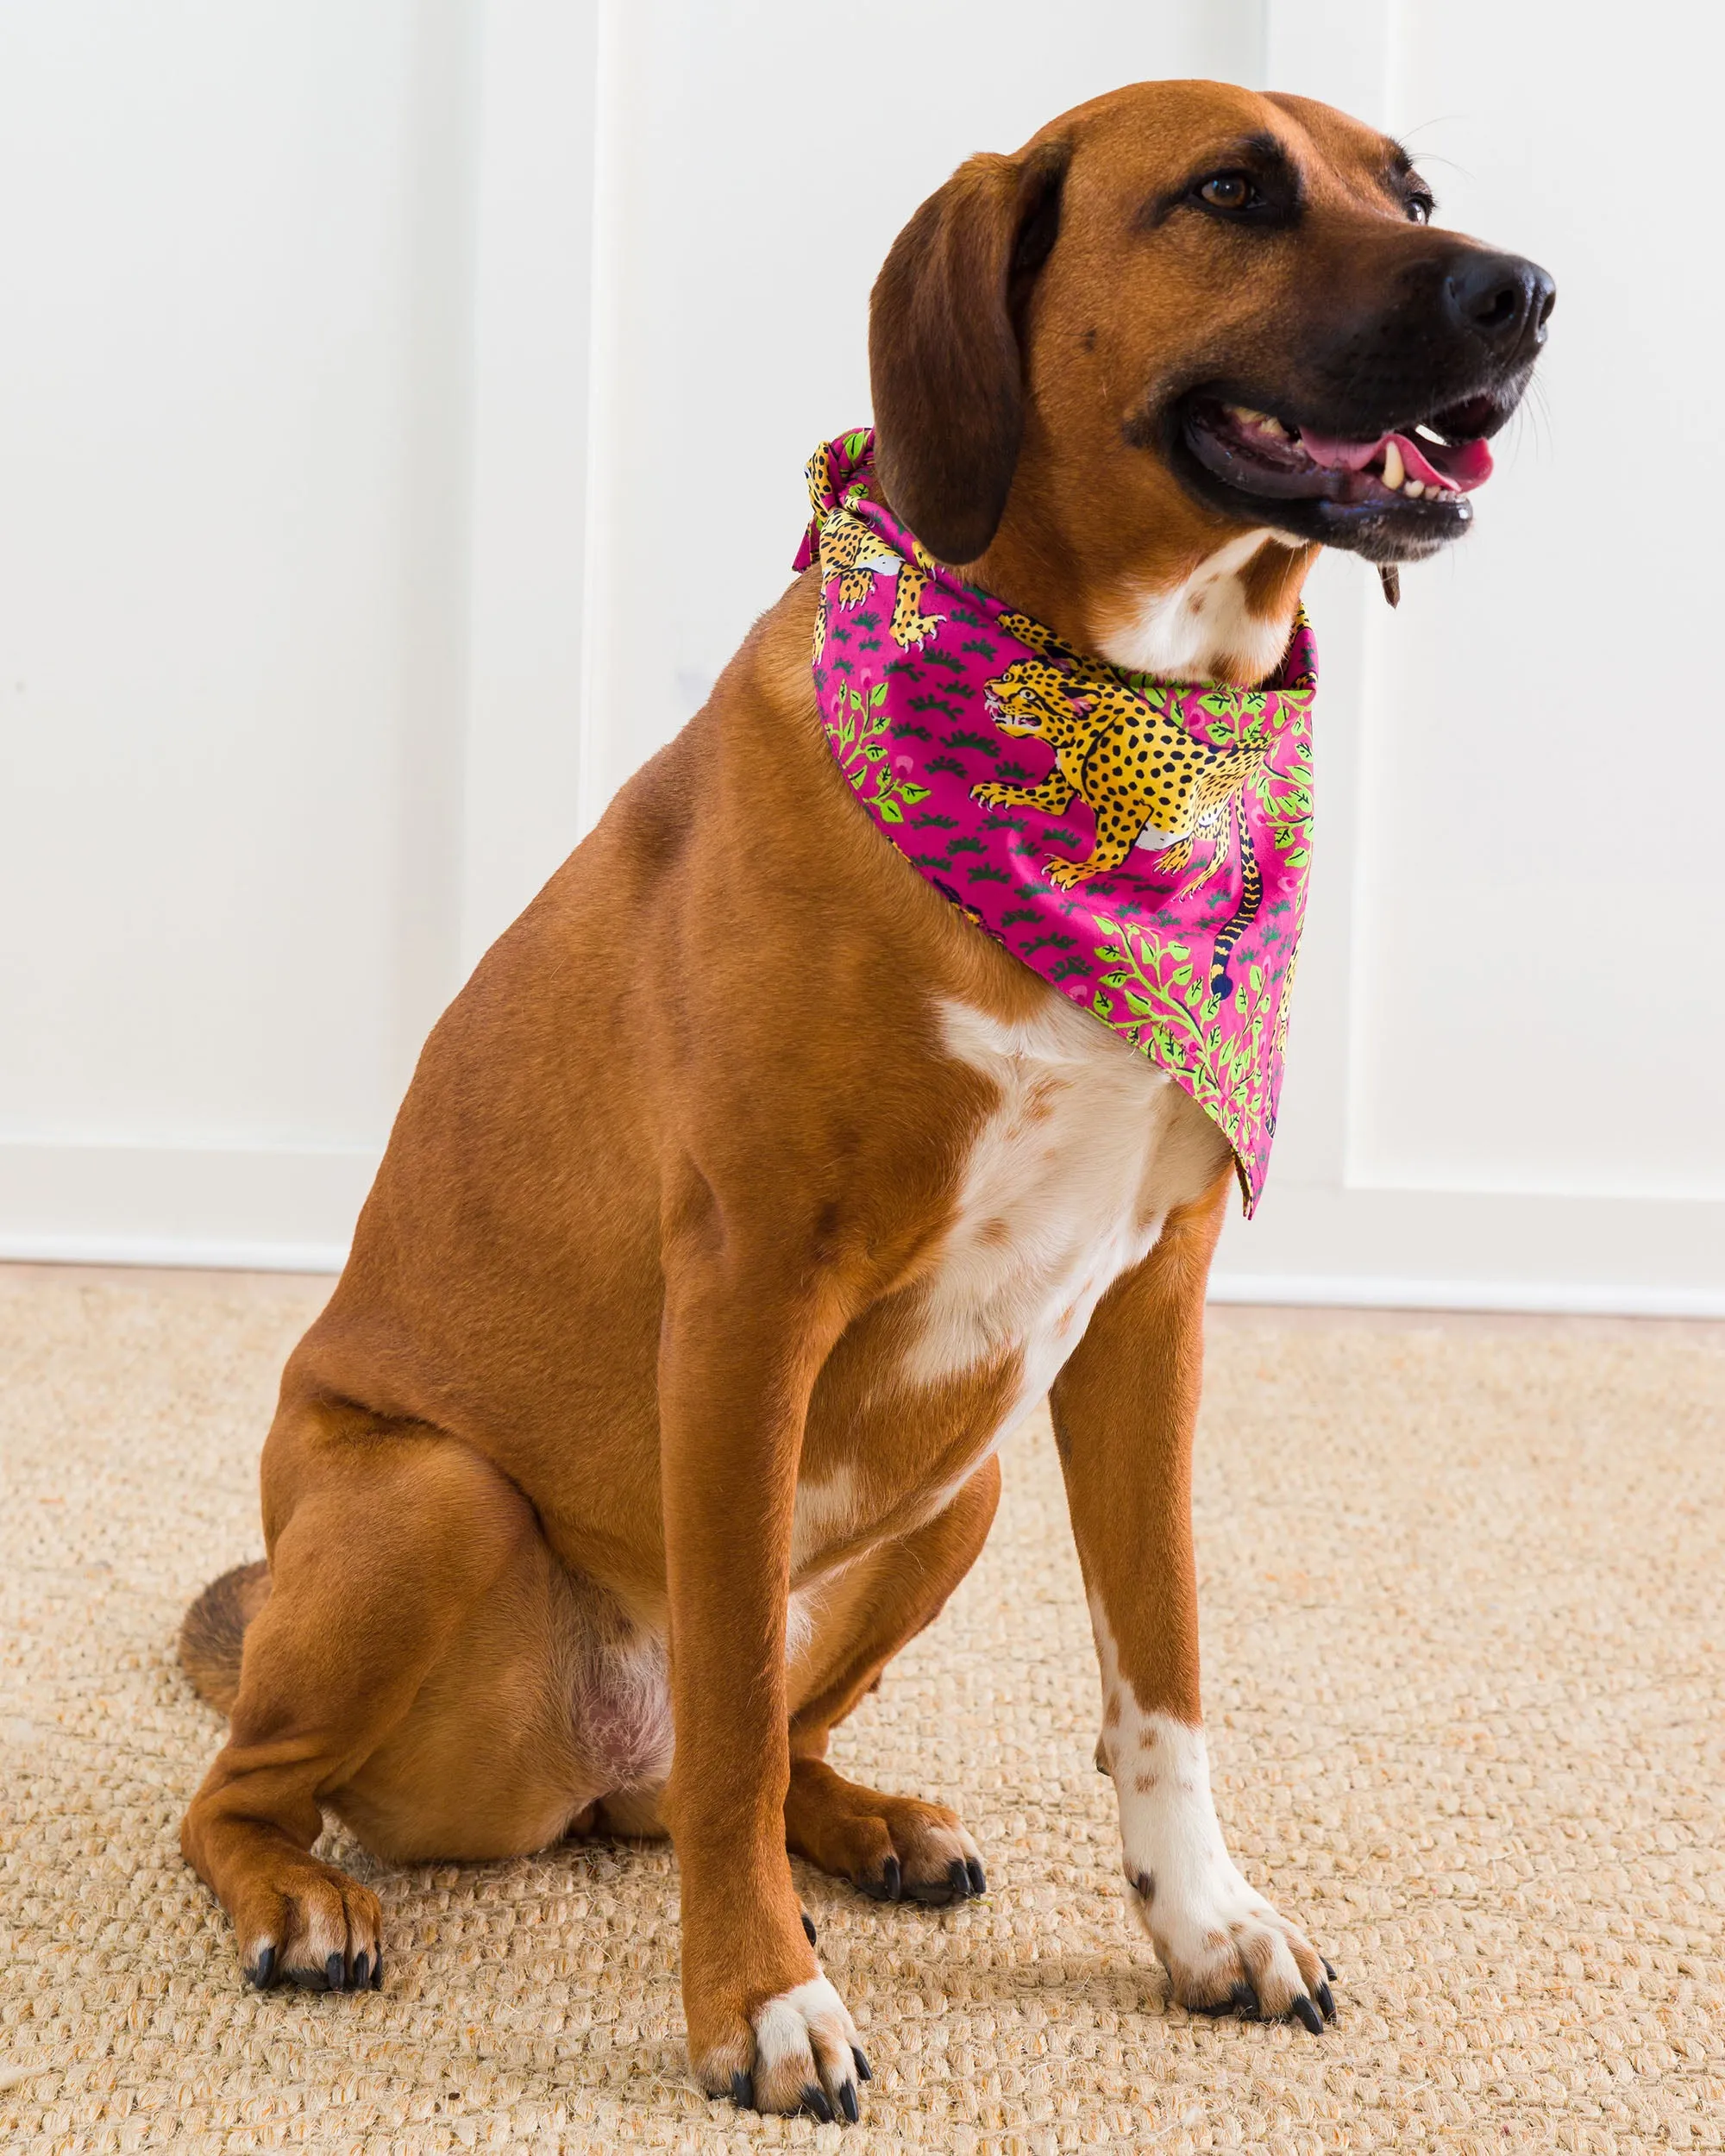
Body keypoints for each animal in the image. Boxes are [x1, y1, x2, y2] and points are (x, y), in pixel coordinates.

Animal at [174, 79, 1552, 2122]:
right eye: (1230, 190)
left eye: (1414, 186)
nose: (1523, 291)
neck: (1105, 720)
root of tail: (579, 1770)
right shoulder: (752, 1299)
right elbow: (740, 1698)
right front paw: (758, 2000)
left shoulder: (1149, 1311)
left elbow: (1163, 1661)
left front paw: (1204, 1922)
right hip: (429, 1501)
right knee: (290, 1786)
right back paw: (299, 1896)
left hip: (953, 1489)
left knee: (706, 1775)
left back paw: (868, 1822)